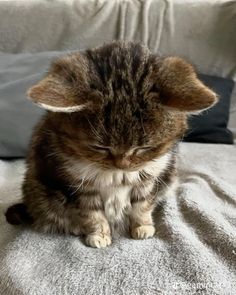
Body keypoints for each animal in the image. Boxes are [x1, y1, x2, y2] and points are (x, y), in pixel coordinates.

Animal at [5, 41, 218, 249]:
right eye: (100, 147)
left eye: (144, 148)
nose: (122, 165)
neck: (118, 176)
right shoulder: (77, 185)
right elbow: (91, 213)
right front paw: (98, 234)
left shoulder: (150, 178)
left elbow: (143, 204)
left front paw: (142, 226)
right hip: (43, 194)